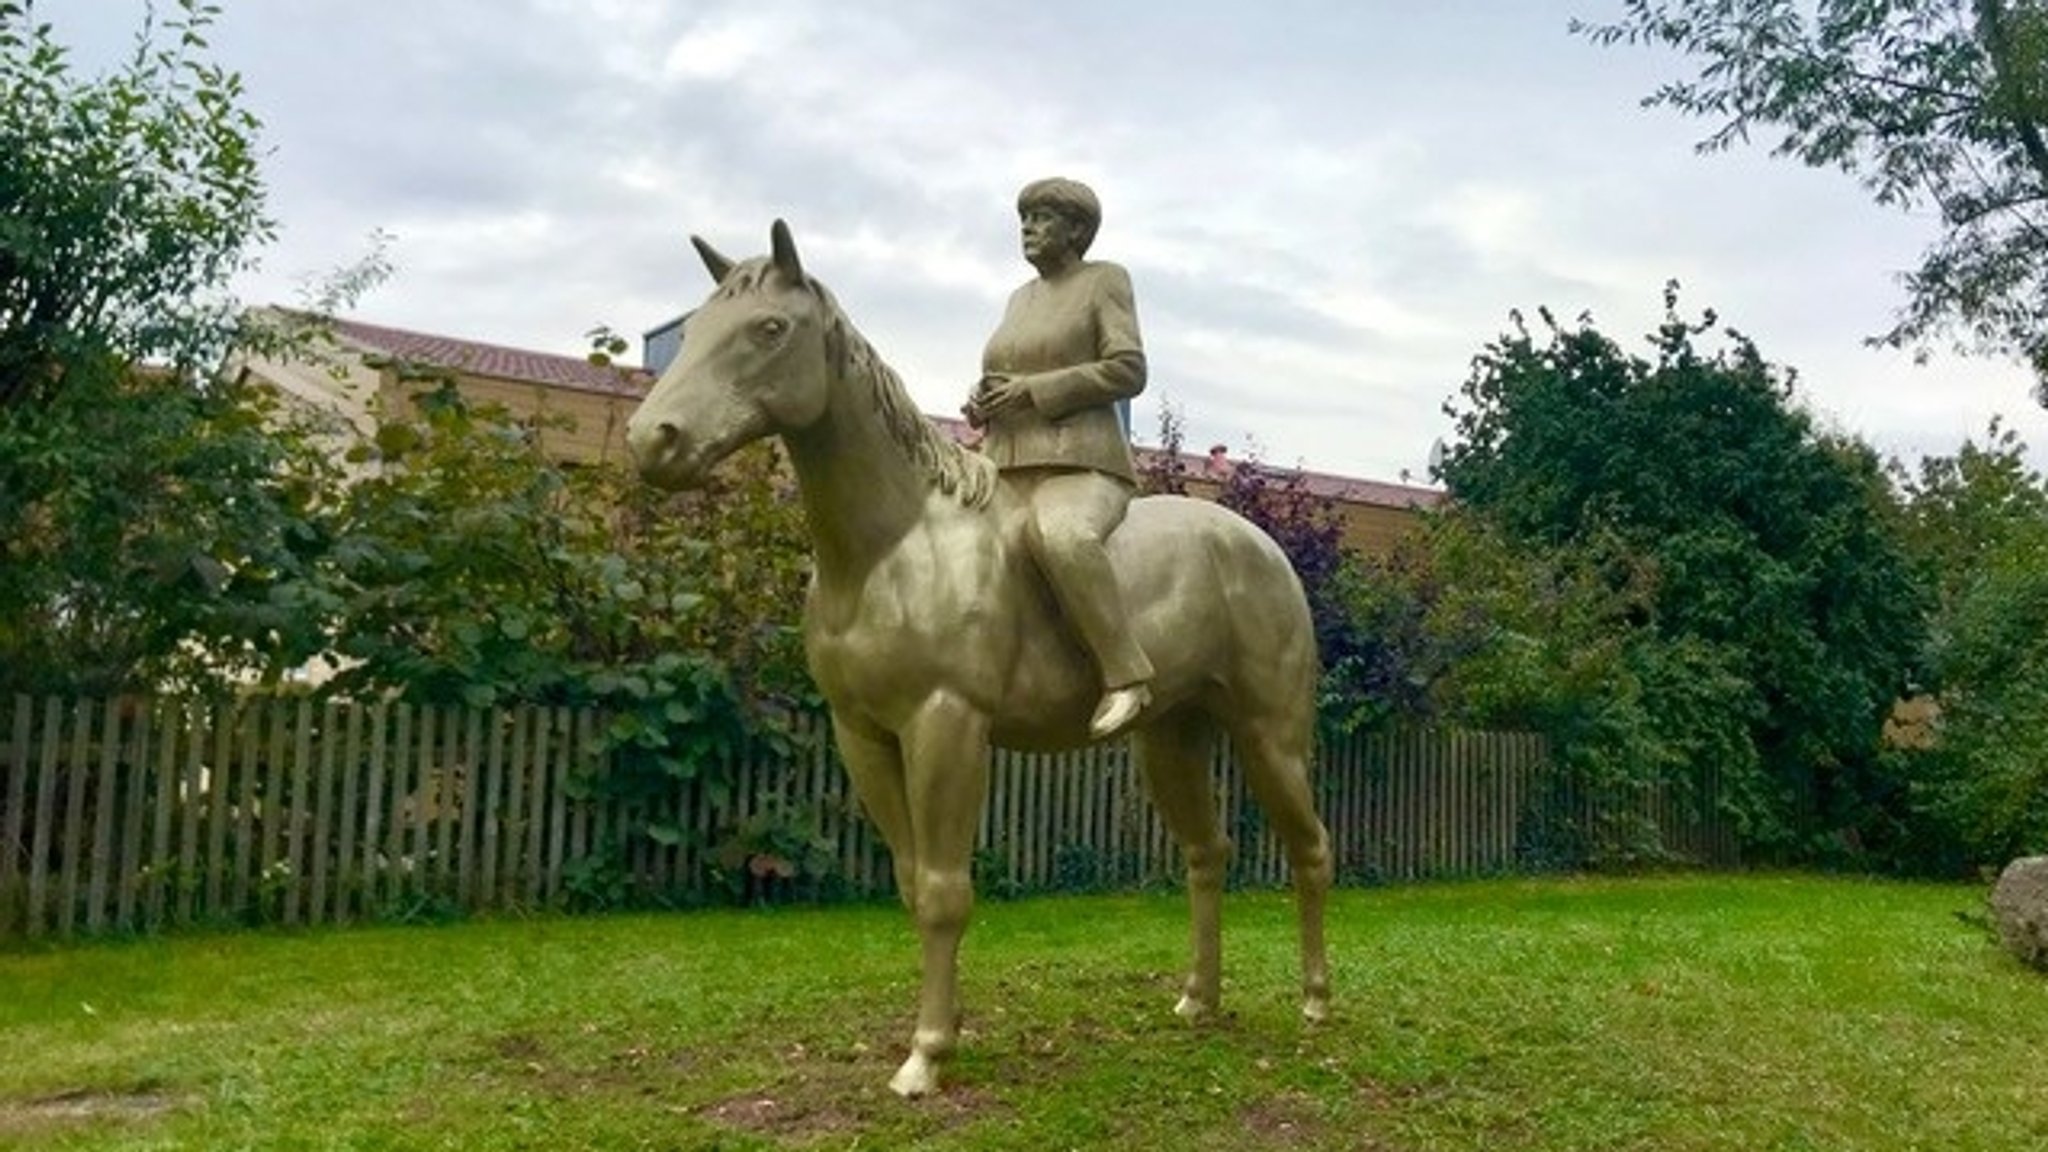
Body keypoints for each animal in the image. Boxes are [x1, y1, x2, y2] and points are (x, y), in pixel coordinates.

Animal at [630, 217, 1335, 1090]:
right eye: (694, 329)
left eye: (768, 329)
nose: (653, 440)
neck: (892, 546)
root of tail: (1261, 547)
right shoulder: (864, 735)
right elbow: (911, 884)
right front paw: (947, 1028)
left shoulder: (947, 726)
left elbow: (944, 892)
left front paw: (926, 1056)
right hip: (1171, 740)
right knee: (1208, 854)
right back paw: (1198, 1001)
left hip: (1270, 737)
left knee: (1311, 849)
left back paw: (1315, 1004)